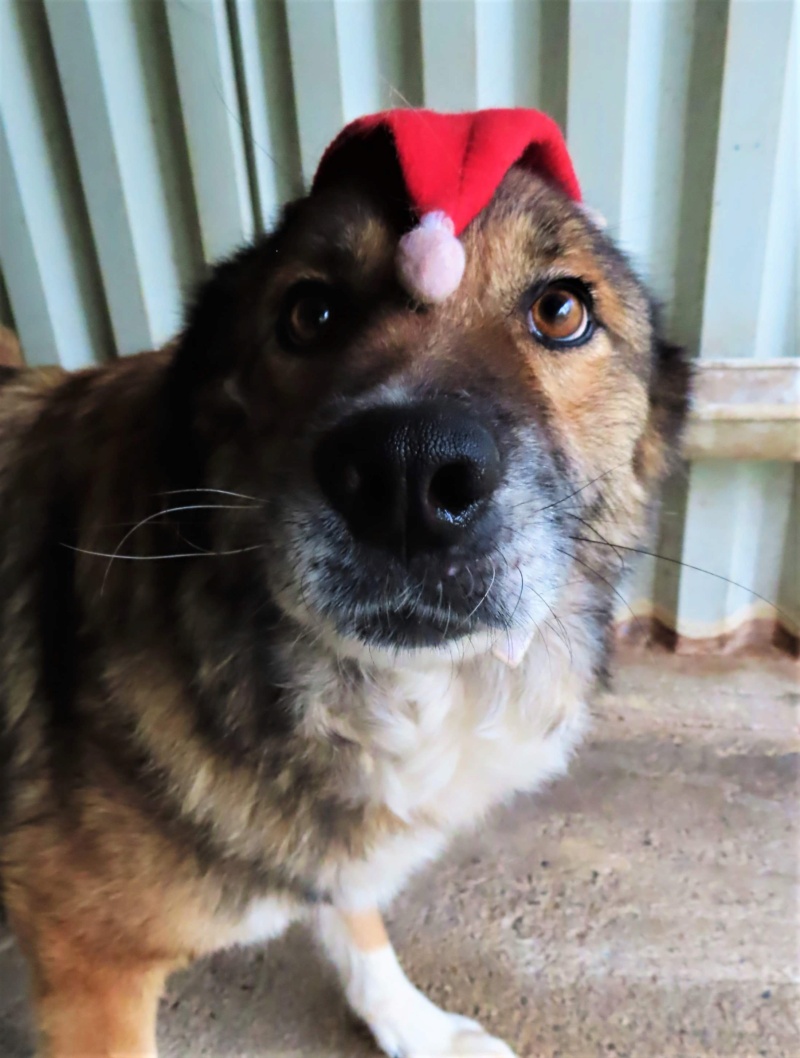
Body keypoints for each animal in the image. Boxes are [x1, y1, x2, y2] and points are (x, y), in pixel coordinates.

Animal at [0, 109, 685, 1058]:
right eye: (308, 313)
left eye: (561, 310)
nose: (407, 478)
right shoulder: (86, 963)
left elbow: (353, 913)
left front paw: (412, 1025)